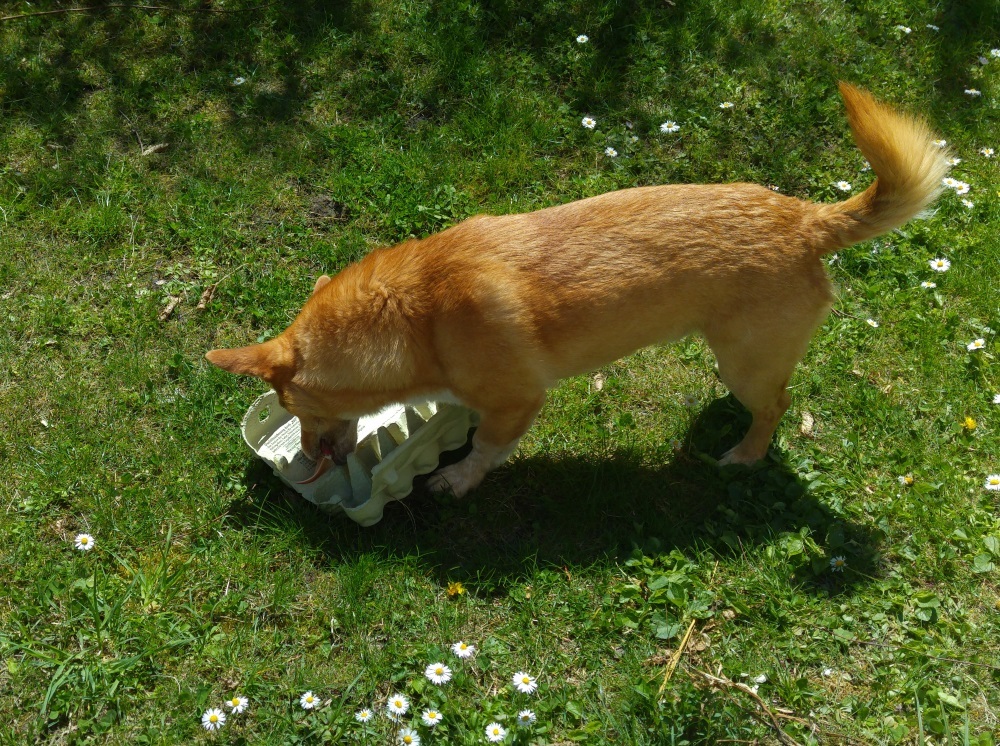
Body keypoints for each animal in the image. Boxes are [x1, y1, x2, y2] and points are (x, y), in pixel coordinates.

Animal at [207, 83, 948, 494]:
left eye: (293, 406)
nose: (306, 458)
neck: (414, 316)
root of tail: (806, 218)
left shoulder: (518, 401)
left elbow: (488, 447)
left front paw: (458, 477)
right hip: (737, 352)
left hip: (748, 361)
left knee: (777, 407)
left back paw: (742, 454)